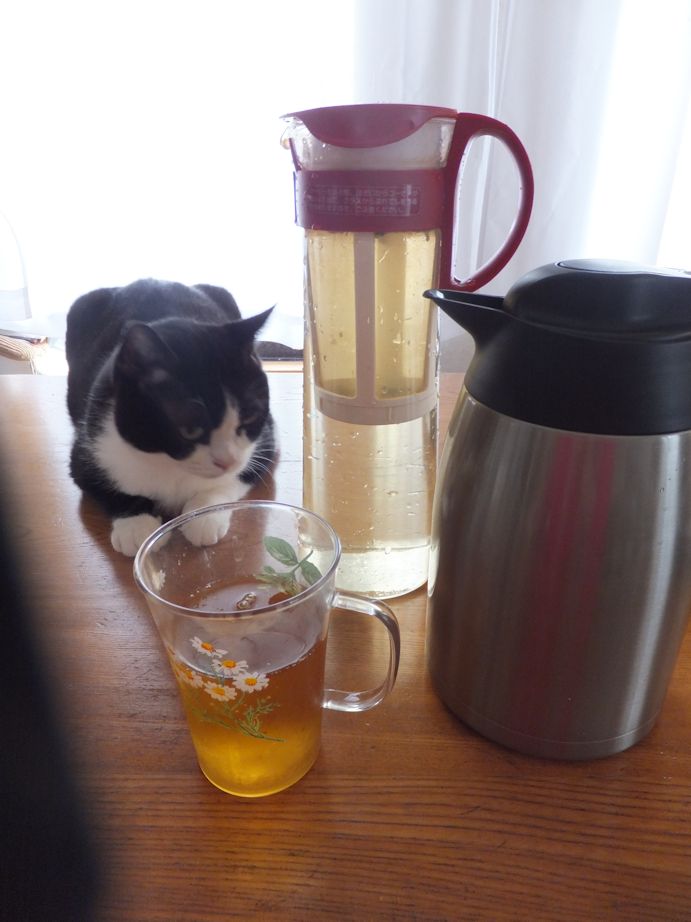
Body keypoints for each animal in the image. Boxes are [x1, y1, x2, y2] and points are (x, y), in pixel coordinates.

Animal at [65, 278, 276, 556]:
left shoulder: (265, 439)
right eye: (189, 429)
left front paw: (203, 516)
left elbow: (244, 472)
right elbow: (101, 485)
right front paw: (137, 526)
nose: (227, 461)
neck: (169, 463)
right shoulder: (89, 444)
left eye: (250, 416)